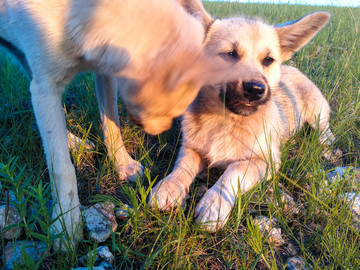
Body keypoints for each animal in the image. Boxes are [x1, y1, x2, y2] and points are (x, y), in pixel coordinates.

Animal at [0, 0, 245, 251]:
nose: (161, 131)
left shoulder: (104, 70)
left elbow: (112, 126)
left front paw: (123, 165)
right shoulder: (47, 85)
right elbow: (61, 166)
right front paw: (66, 225)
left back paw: (74, 142)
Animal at [149, 0, 332, 232]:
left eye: (268, 60)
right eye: (229, 54)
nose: (256, 89)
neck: (226, 121)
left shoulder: (266, 162)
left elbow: (234, 171)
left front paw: (214, 204)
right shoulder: (190, 147)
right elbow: (183, 166)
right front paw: (170, 185)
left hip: (318, 113)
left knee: (325, 130)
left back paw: (325, 144)